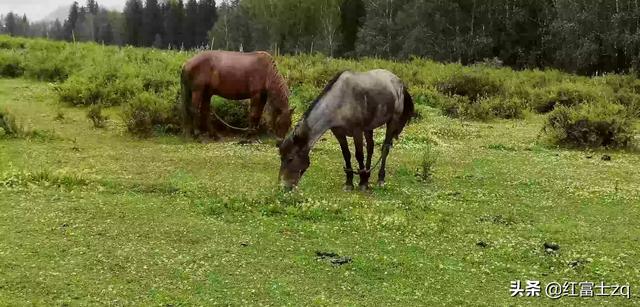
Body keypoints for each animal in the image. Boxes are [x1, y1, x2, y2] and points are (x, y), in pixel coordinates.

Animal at [278, 68, 412, 191]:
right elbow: (346, 154)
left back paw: (380, 179)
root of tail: (399, 82)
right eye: (281, 157)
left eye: (290, 159)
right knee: (370, 147)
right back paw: (367, 175)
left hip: (392, 121)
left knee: (385, 149)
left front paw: (362, 183)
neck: (340, 101)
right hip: (369, 127)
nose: (283, 187)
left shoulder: (357, 131)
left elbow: (359, 155)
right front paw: (350, 183)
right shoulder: (339, 133)